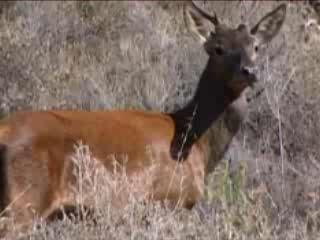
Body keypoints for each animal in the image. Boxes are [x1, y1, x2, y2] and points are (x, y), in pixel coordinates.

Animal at [0, 0, 286, 235]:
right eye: (218, 48)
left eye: (256, 47)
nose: (249, 71)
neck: (197, 144)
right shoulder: (170, 199)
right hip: (22, 203)